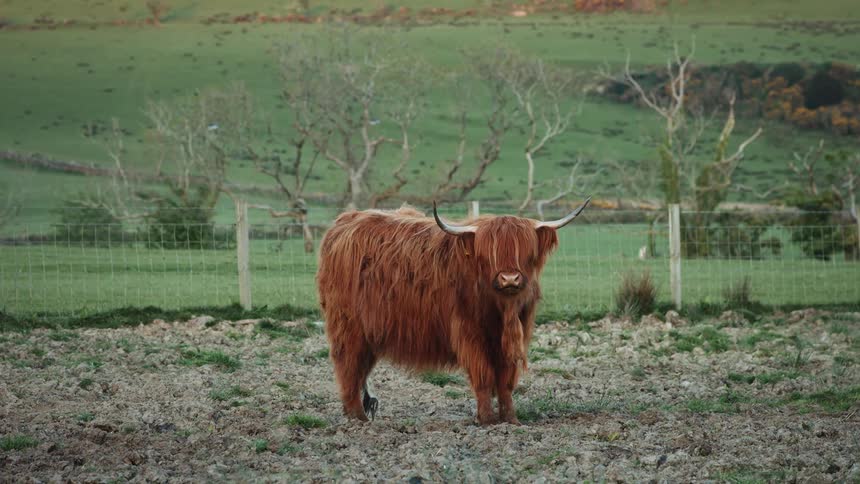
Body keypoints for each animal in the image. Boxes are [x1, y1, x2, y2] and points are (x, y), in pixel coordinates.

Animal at [316, 198, 590, 425]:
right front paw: (487, 419)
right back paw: (358, 418)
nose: (509, 278)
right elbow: (484, 375)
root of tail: (345, 221)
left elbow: (506, 380)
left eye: (525, 251)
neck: (501, 310)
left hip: (370, 333)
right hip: (348, 326)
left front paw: (511, 419)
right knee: (348, 367)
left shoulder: (515, 335)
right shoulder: (470, 334)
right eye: (490, 253)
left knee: (359, 368)